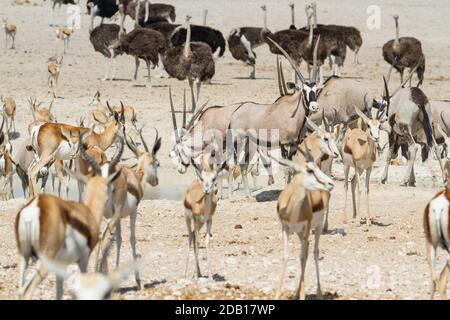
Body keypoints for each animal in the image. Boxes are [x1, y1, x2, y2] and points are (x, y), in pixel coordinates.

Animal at [14, 132, 123, 300]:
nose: (111, 210)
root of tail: (32, 211)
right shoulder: (83, 258)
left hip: (25, 257)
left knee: (21, 289)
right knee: (27, 290)